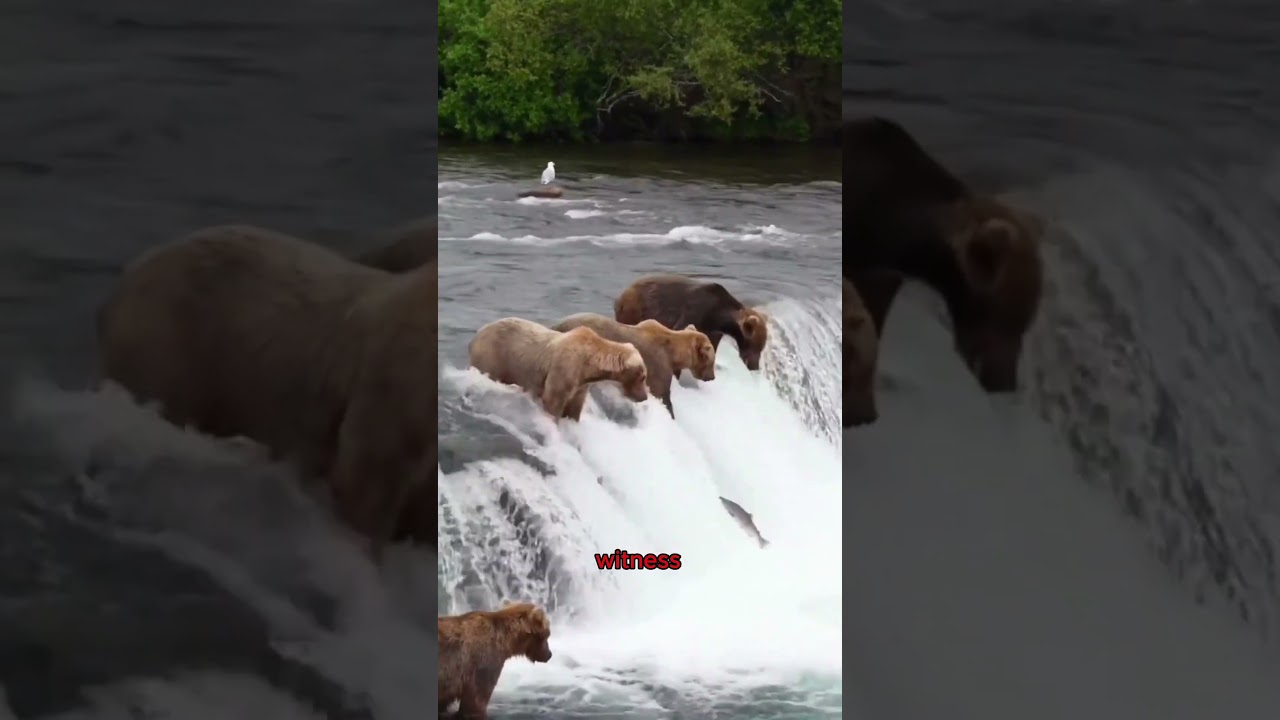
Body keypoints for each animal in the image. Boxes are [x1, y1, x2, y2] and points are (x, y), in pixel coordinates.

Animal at [467, 317, 649, 421]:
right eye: (643, 376)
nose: (644, 397)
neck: (588, 363)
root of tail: (476, 335)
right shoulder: (564, 369)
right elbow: (553, 399)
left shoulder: (580, 384)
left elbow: (575, 406)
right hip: (492, 357)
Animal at [550, 312, 715, 417]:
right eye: (711, 361)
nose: (712, 377)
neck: (673, 352)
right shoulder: (658, 364)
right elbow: (661, 393)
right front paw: (670, 411)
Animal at [613, 274, 769, 371]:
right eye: (754, 345)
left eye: (761, 347)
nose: (754, 366)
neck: (718, 316)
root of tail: (622, 294)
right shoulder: (696, 310)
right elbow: (681, 329)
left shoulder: (713, 329)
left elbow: (712, 343)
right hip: (636, 309)